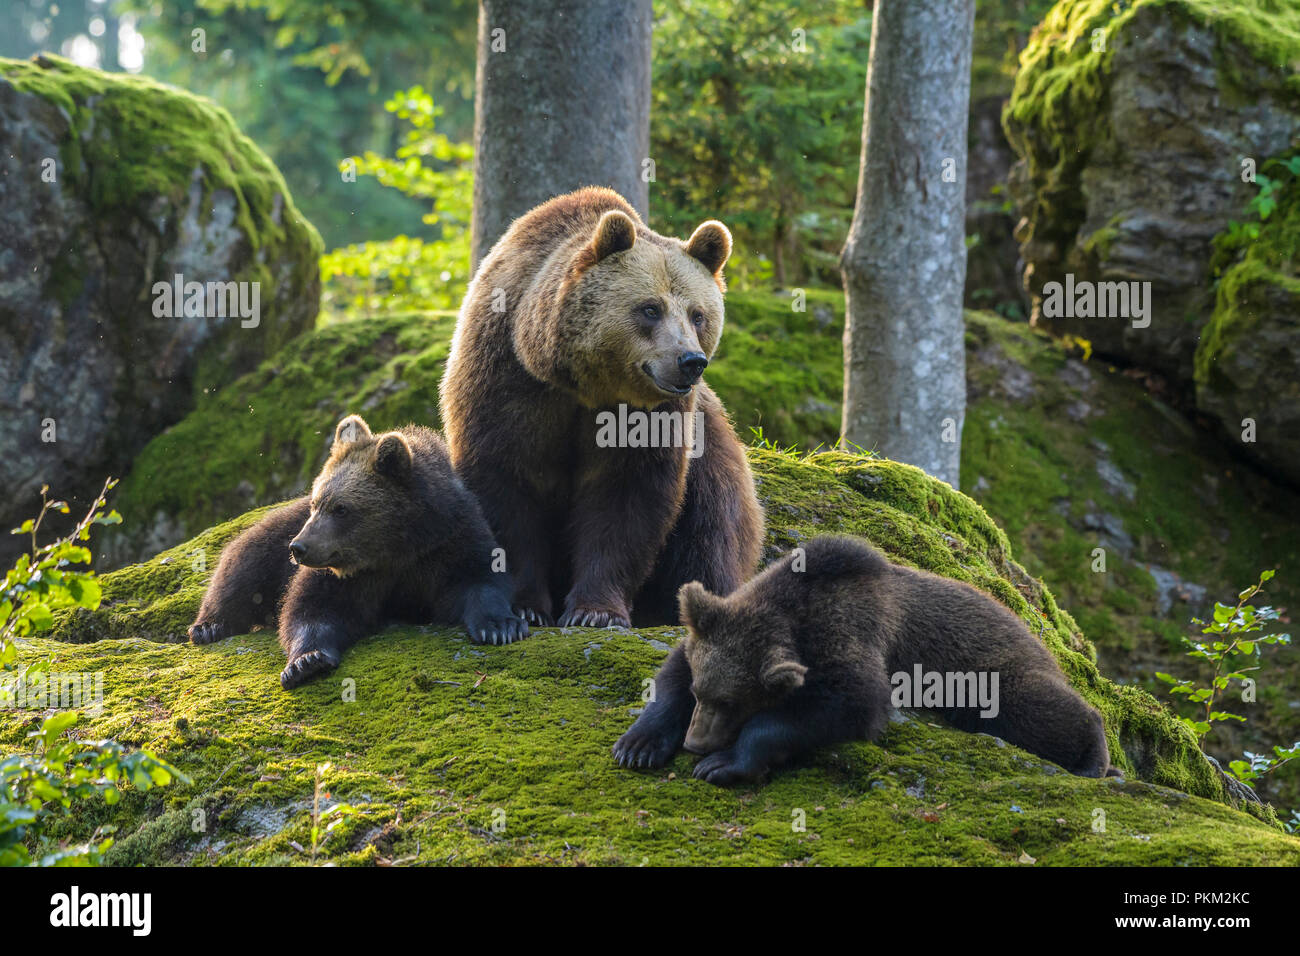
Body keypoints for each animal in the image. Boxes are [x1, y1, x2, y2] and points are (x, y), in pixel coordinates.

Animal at [188, 415, 526, 689]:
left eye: (341, 508)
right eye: (317, 503)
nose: (299, 548)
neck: (398, 548)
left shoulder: (451, 540)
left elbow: (479, 578)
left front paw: (501, 626)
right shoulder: (347, 572)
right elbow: (312, 607)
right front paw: (306, 661)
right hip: (275, 534)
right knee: (243, 564)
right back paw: (209, 626)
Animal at [440, 187, 763, 629]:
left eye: (698, 315)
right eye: (650, 308)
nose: (690, 361)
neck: (581, 385)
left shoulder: (647, 417)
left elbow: (627, 497)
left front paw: (596, 612)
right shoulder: (509, 379)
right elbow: (504, 481)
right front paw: (526, 606)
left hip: (712, 448)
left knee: (712, 526)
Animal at [613, 535, 1113, 785]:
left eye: (734, 702)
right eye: (702, 691)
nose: (697, 744)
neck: (794, 609)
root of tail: (1043, 638)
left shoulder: (854, 636)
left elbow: (848, 705)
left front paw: (725, 764)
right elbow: (673, 667)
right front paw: (638, 744)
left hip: (996, 675)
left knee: (1039, 709)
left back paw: (1094, 758)